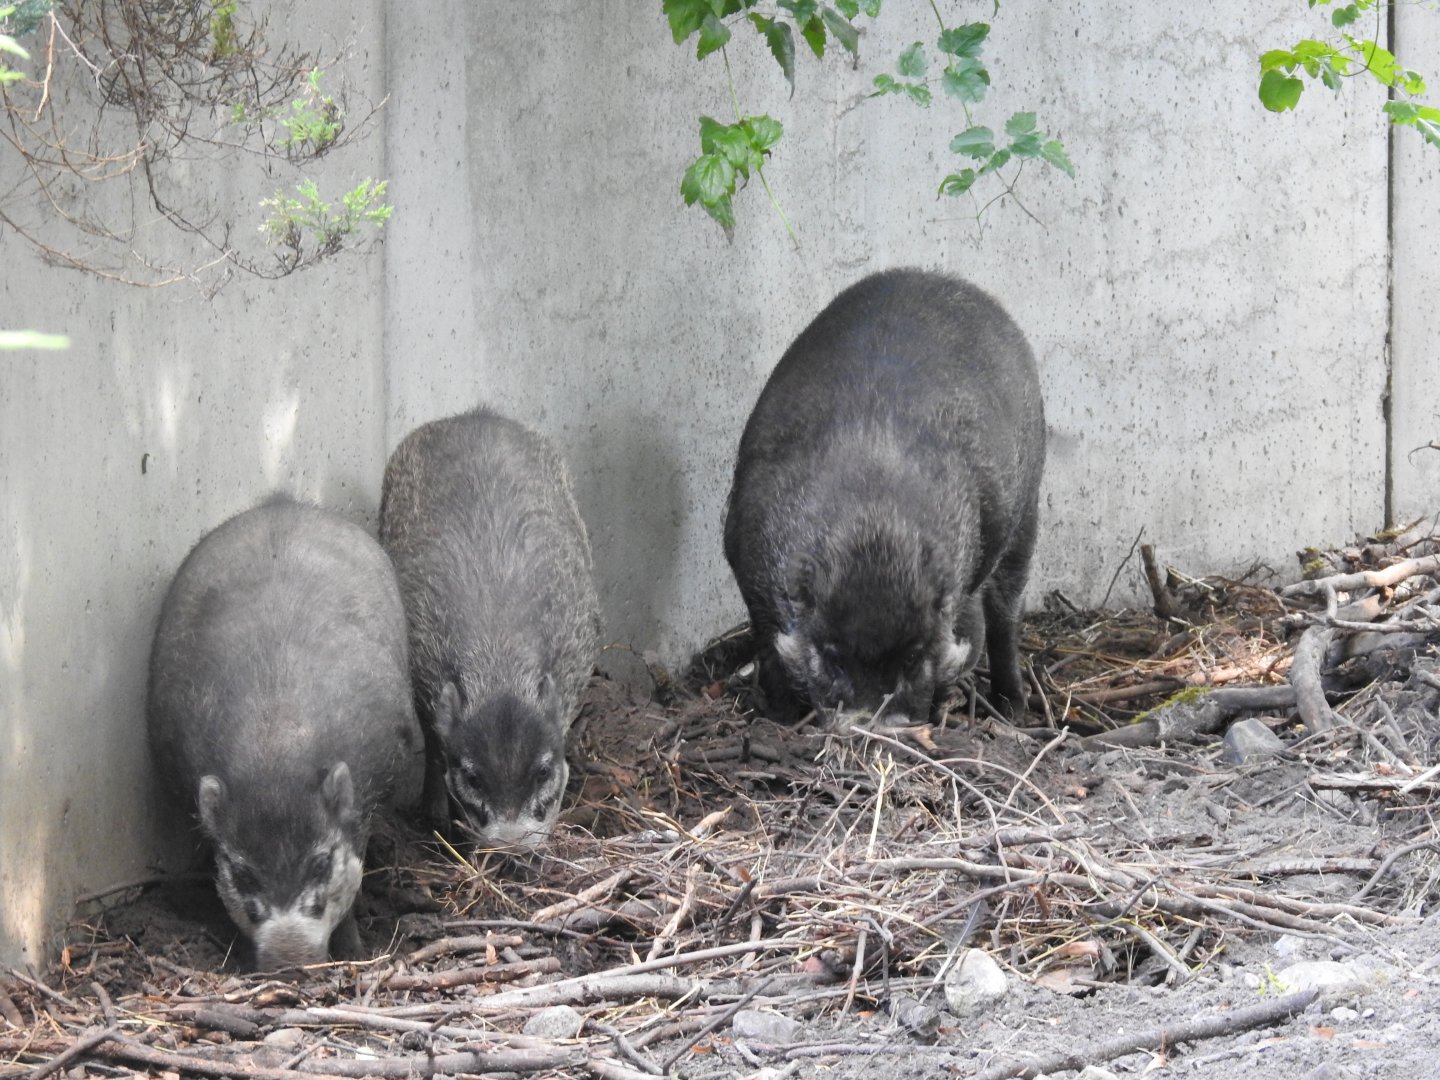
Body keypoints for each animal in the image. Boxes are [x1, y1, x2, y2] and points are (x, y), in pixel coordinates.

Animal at [147, 498, 421, 970]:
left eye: (321, 863)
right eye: (242, 872)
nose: (289, 957)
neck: (273, 754)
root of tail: (284, 504)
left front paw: (355, 952)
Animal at [379, 407, 600, 850]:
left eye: (543, 772)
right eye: (474, 778)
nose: (512, 841)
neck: (500, 670)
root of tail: (475, 414)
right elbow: (436, 749)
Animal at [723, 268, 1046, 725]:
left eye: (912, 657)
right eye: (833, 656)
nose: (872, 724)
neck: (873, 519)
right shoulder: (743, 554)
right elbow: (770, 646)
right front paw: (780, 718)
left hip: (1028, 507)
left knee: (1005, 614)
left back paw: (1012, 709)